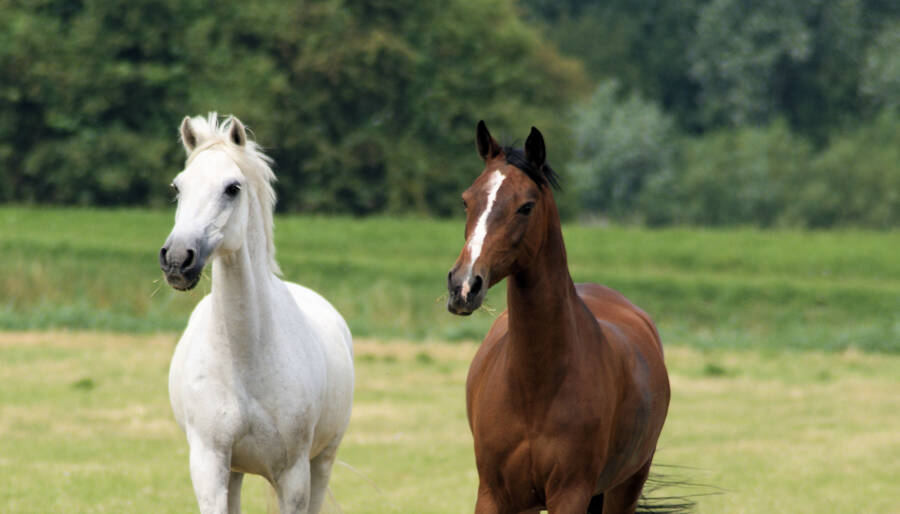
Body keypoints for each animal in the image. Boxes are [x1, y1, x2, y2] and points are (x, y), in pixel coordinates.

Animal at [159, 113, 354, 514]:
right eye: (177, 186)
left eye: (232, 188)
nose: (177, 259)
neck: (244, 355)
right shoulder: (210, 465)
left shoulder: (293, 475)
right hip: (234, 471)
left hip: (322, 461)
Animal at [446, 121, 671, 514]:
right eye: (466, 200)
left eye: (526, 206)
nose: (463, 286)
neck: (534, 386)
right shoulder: (493, 493)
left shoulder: (571, 492)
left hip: (626, 484)